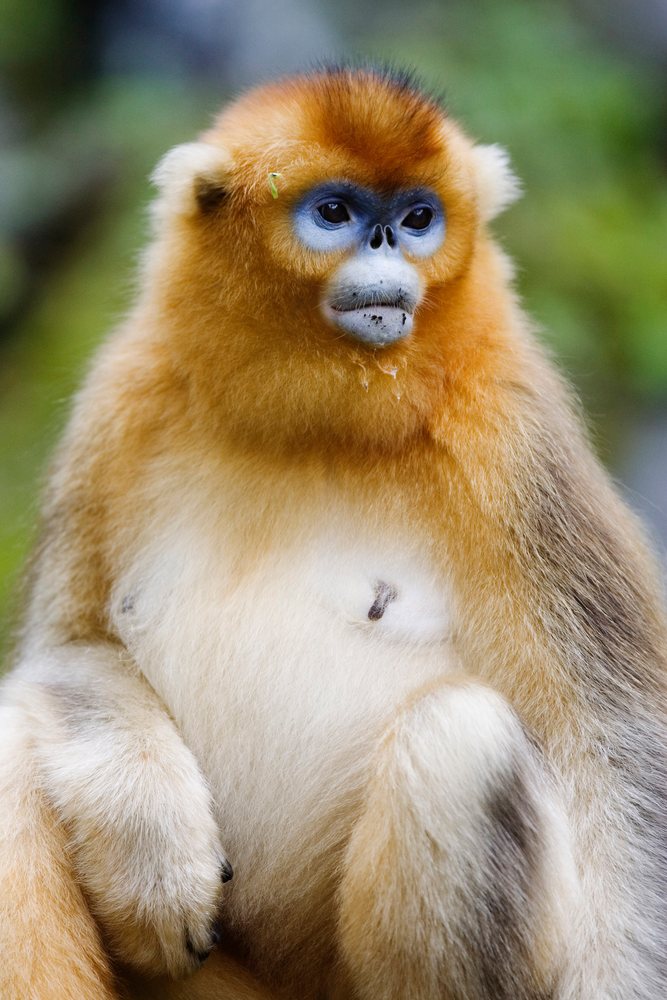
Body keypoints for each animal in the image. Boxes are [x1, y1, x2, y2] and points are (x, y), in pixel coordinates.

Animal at [0, 64, 666, 1000]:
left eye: (419, 217)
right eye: (336, 211)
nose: (386, 244)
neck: (312, 424)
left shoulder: (511, 440)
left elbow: (616, 756)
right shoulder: (123, 398)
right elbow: (65, 650)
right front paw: (154, 857)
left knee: (454, 738)